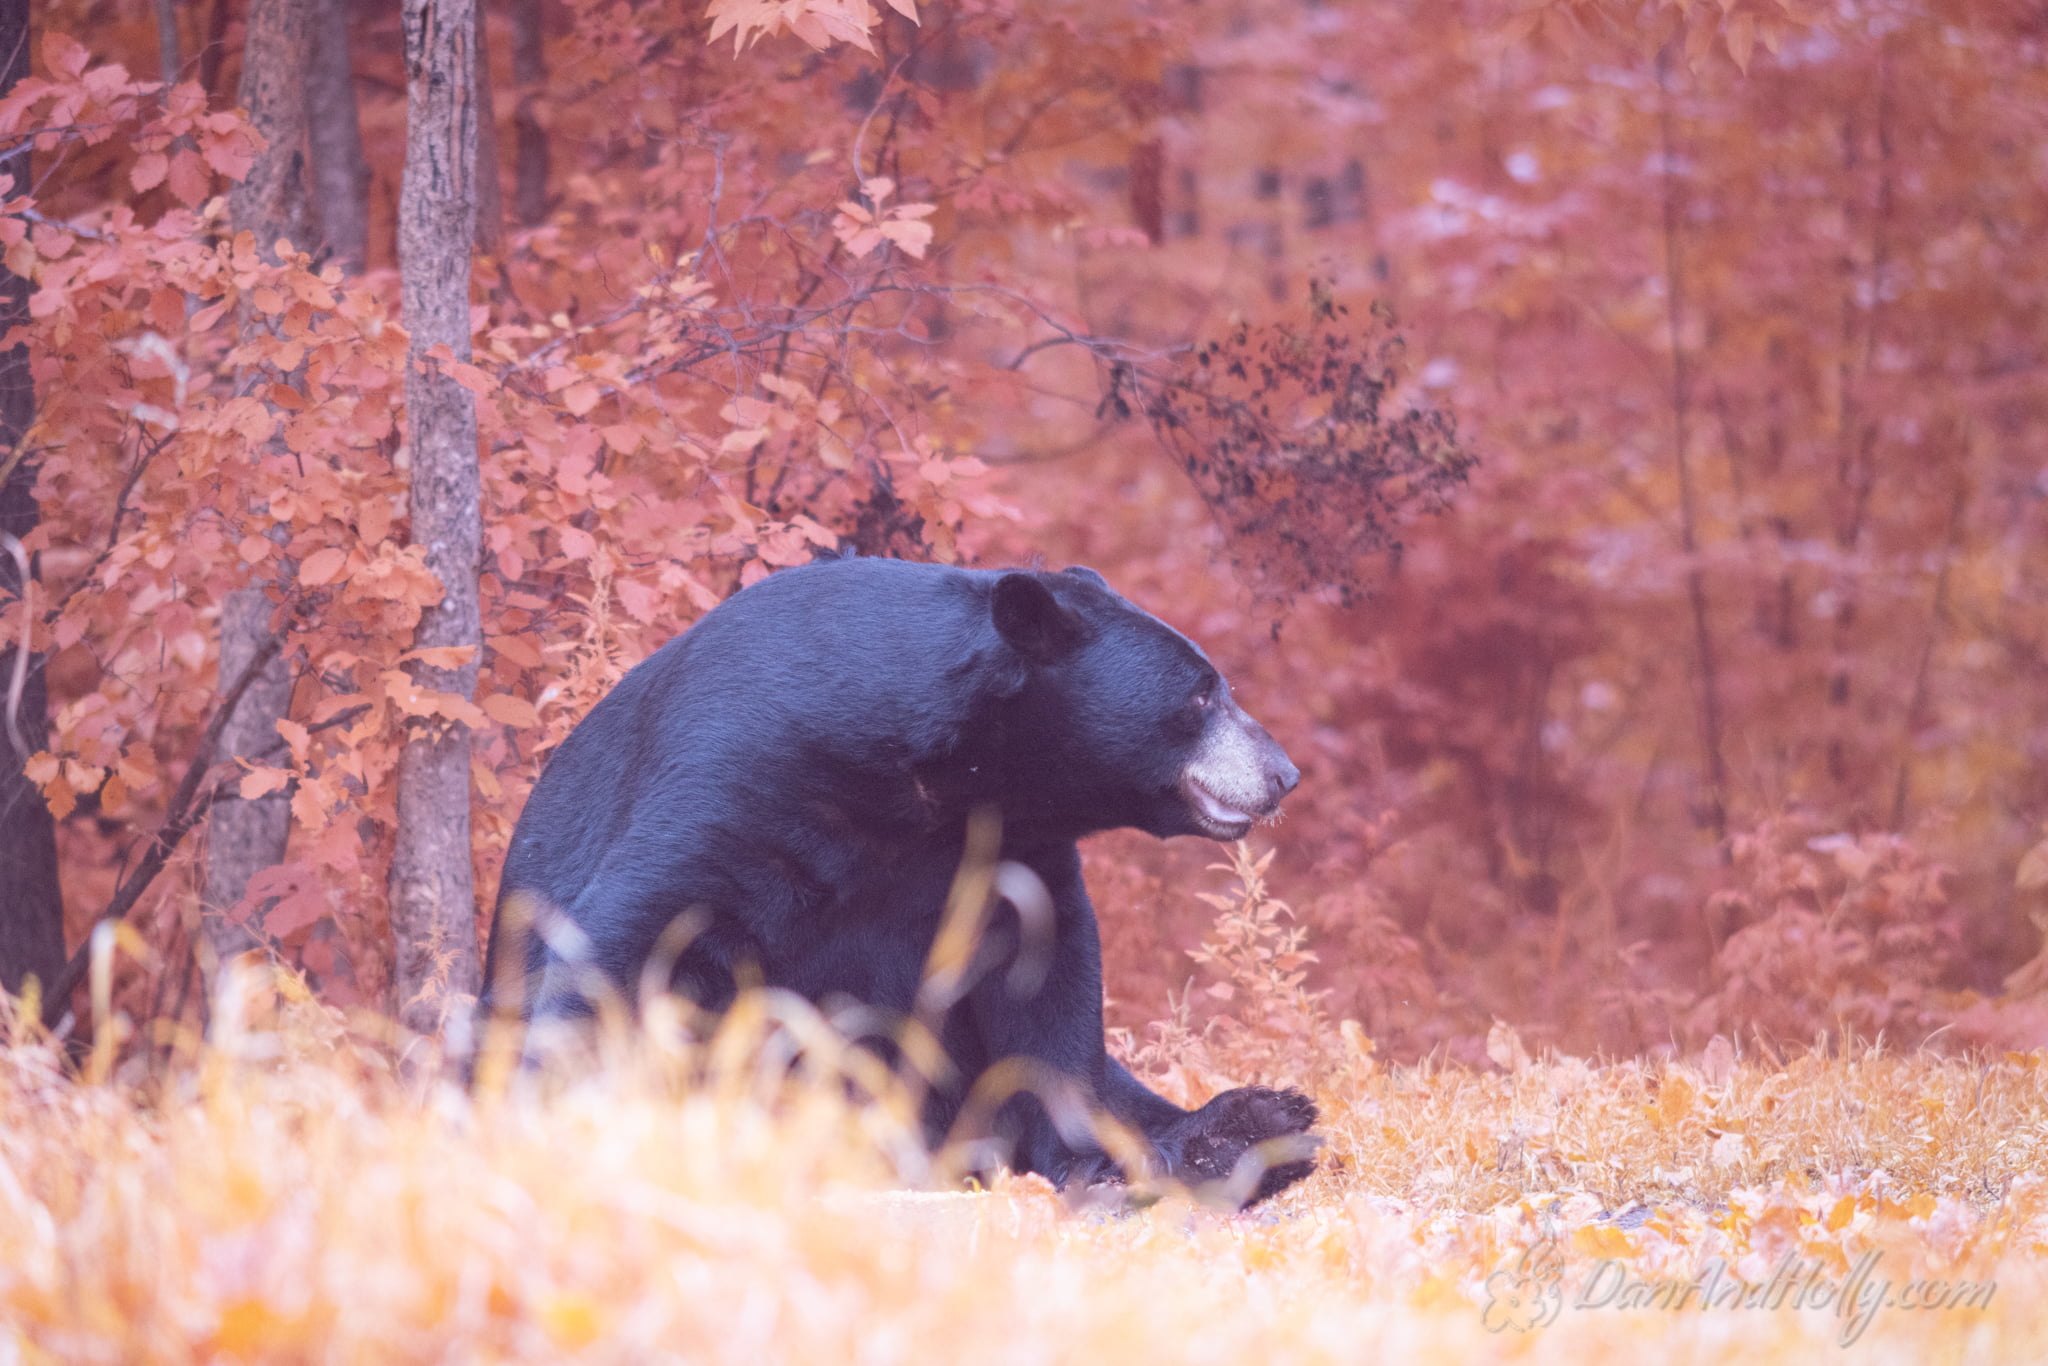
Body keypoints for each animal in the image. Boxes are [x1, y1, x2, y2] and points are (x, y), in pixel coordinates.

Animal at [477, 557, 1310, 1204]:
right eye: (1201, 691)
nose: (1283, 773)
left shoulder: (1007, 844)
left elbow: (1046, 977)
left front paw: (1090, 1159)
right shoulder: (743, 768)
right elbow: (643, 929)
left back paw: (1255, 1126)